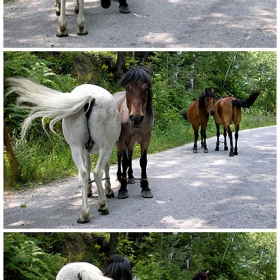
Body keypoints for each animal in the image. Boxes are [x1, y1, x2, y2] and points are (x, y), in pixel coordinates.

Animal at [6, 76, 120, 223]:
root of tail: (90, 97)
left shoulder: (85, 150)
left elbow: (89, 167)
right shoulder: (101, 149)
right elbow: (102, 167)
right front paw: (107, 191)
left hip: (77, 147)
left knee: (83, 172)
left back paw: (84, 213)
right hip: (103, 147)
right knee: (96, 172)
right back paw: (101, 206)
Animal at [112, 66, 154, 200]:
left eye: (146, 88)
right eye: (127, 87)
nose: (136, 118)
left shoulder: (146, 139)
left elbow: (143, 161)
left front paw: (145, 187)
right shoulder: (123, 139)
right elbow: (124, 161)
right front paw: (123, 189)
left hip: (131, 142)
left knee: (130, 154)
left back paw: (130, 177)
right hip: (118, 142)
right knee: (120, 155)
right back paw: (120, 177)